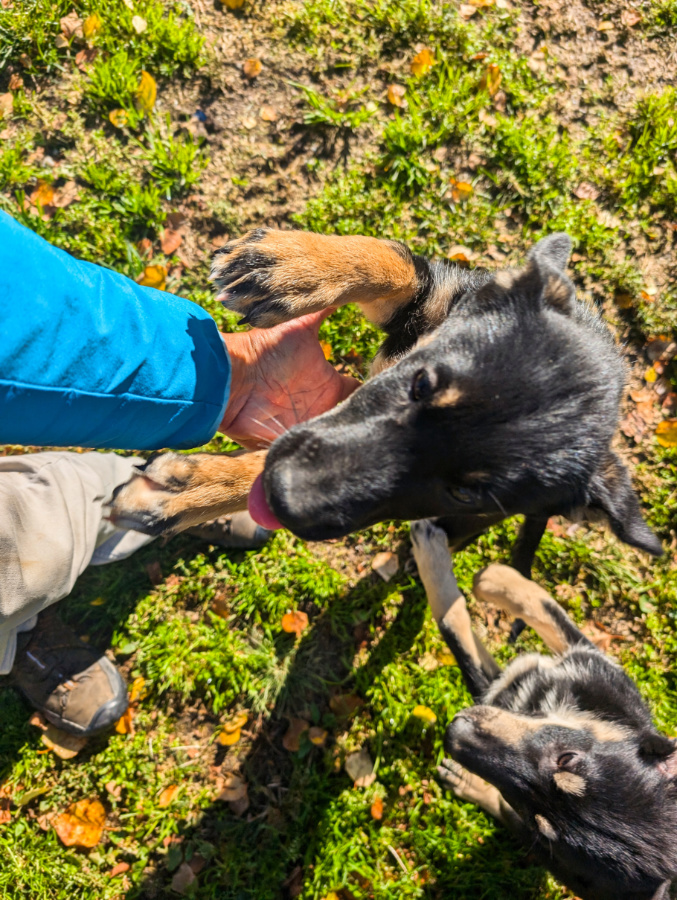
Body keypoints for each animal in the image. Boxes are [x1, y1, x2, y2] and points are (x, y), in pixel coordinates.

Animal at [111, 229, 660, 572]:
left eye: (464, 492)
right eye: (420, 384)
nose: (285, 497)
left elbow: (270, 462)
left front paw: (191, 490)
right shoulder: (437, 297)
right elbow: (395, 260)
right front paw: (291, 267)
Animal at [410, 516, 676, 900]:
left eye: (538, 819)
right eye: (567, 759)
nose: (454, 733)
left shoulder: (495, 691)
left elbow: (454, 630)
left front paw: (440, 559)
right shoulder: (589, 664)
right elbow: (540, 604)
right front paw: (495, 577)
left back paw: (468, 783)